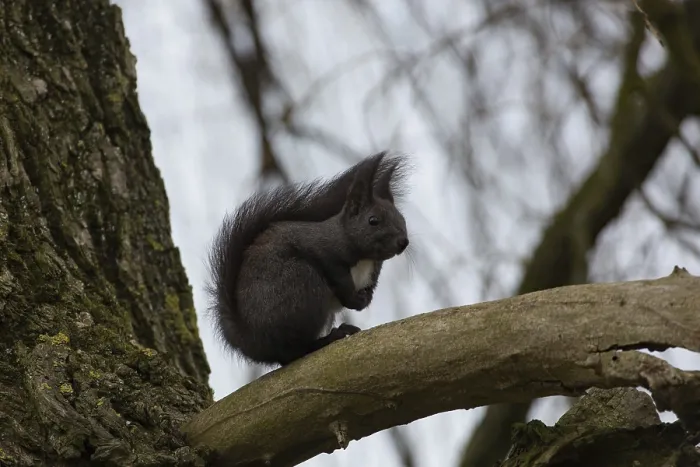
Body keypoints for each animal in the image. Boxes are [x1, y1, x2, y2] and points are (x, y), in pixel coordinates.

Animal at [206, 151, 410, 366]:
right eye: (373, 221)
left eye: (402, 219)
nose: (403, 242)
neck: (365, 259)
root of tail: (251, 339)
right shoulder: (322, 249)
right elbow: (338, 277)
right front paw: (354, 300)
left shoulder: (373, 271)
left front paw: (365, 299)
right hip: (302, 286)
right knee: (293, 351)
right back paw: (331, 337)